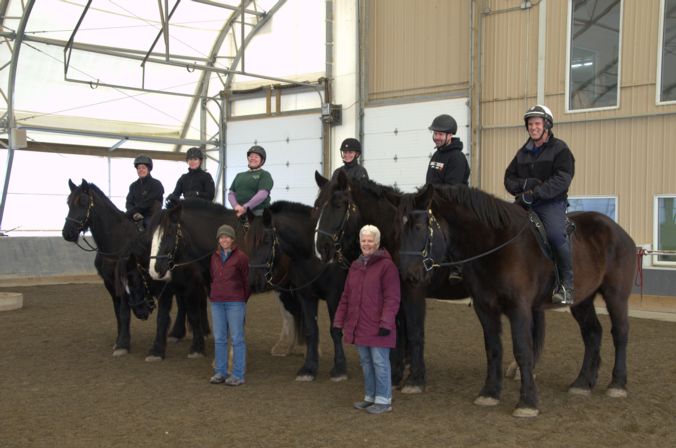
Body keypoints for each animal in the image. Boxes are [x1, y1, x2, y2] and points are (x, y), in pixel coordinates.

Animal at [62, 180, 165, 356]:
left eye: (83, 202)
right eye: (68, 202)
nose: (67, 233)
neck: (117, 242)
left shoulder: (125, 282)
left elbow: (124, 312)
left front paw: (123, 344)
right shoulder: (109, 283)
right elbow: (117, 313)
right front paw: (119, 340)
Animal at [247, 203, 348, 382]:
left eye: (266, 240)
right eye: (248, 241)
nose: (253, 282)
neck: (315, 256)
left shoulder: (334, 296)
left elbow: (335, 331)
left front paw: (340, 368)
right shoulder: (306, 296)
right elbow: (311, 330)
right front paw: (309, 368)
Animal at [314, 172, 468, 392]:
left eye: (338, 205)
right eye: (317, 205)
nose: (322, 248)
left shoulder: (413, 290)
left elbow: (414, 330)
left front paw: (414, 378)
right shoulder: (397, 293)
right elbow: (398, 331)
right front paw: (396, 374)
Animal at [396, 184, 632, 418]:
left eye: (419, 227)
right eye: (400, 229)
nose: (406, 275)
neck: (494, 244)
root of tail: (618, 231)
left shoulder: (519, 308)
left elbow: (522, 350)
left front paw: (527, 402)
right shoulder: (484, 307)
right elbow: (493, 348)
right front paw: (490, 393)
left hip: (616, 295)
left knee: (620, 333)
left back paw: (617, 385)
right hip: (582, 301)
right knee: (592, 333)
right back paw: (582, 383)